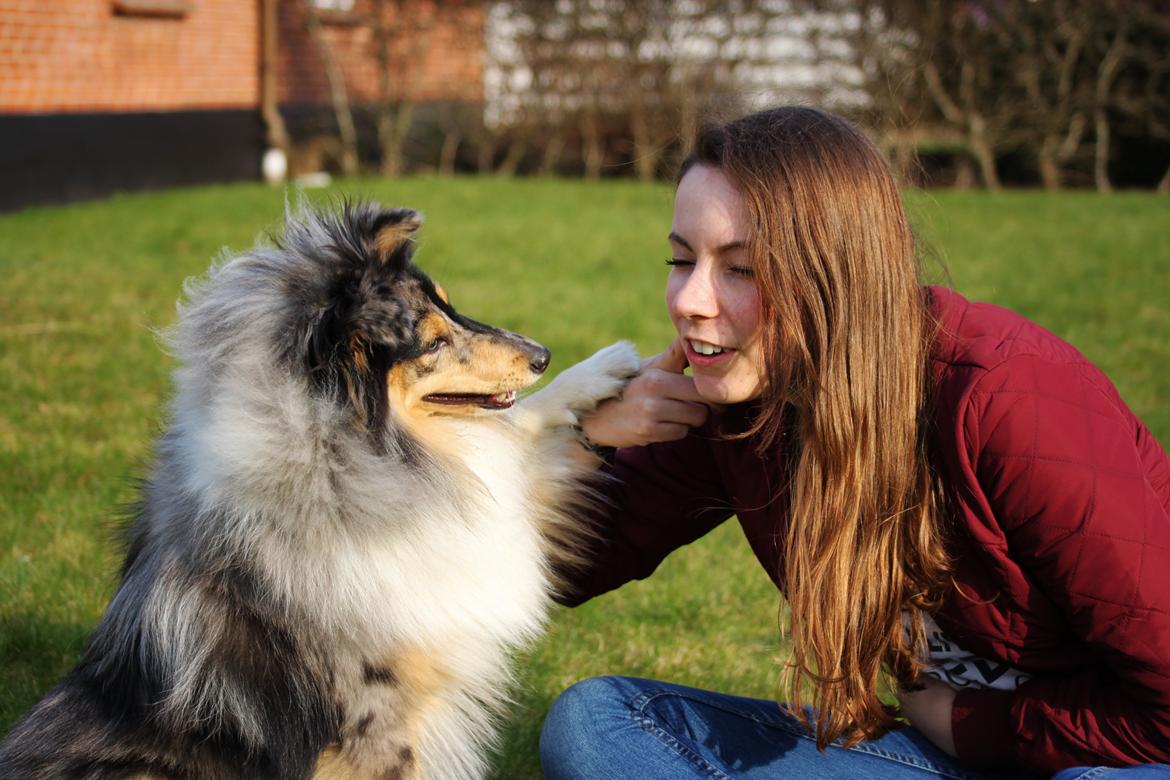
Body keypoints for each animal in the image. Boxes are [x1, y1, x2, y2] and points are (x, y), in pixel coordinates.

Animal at [0, 203, 641, 780]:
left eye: (452, 306)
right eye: (432, 344)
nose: (543, 355)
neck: (339, 463)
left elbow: (515, 434)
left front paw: (601, 371)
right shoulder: (376, 721)